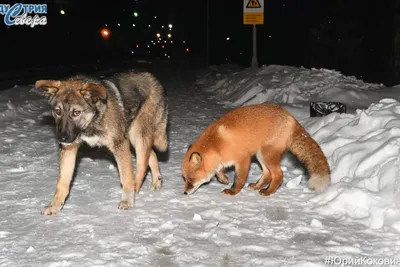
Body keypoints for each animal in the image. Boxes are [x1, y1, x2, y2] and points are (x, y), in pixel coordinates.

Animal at [30, 71, 168, 216]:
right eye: (57, 111)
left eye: (76, 112)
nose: (62, 138)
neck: (92, 121)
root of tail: (151, 76)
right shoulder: (70, 148)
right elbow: (62, 183)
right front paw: (55, 206)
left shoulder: (119, 144)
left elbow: (126, 176)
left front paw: (127, 201)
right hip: (134, 136)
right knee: (151, 154)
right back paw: (156, 182)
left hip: (137, 134)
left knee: (142, 165)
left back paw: (137, 187)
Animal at [183, 103, 330, 196]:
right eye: (184, 179)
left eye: (190, 179)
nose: (184, 193)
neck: (217, 144)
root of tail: (291, 117)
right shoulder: (221, 160)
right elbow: (219, 171)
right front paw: (223, 179)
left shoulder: (243, 159)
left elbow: (239, 179)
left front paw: (233, 191)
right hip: (261, 156)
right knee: (267, 174)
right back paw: (258, 186)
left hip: (266, 155)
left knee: (278, 174)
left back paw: (268, 191)